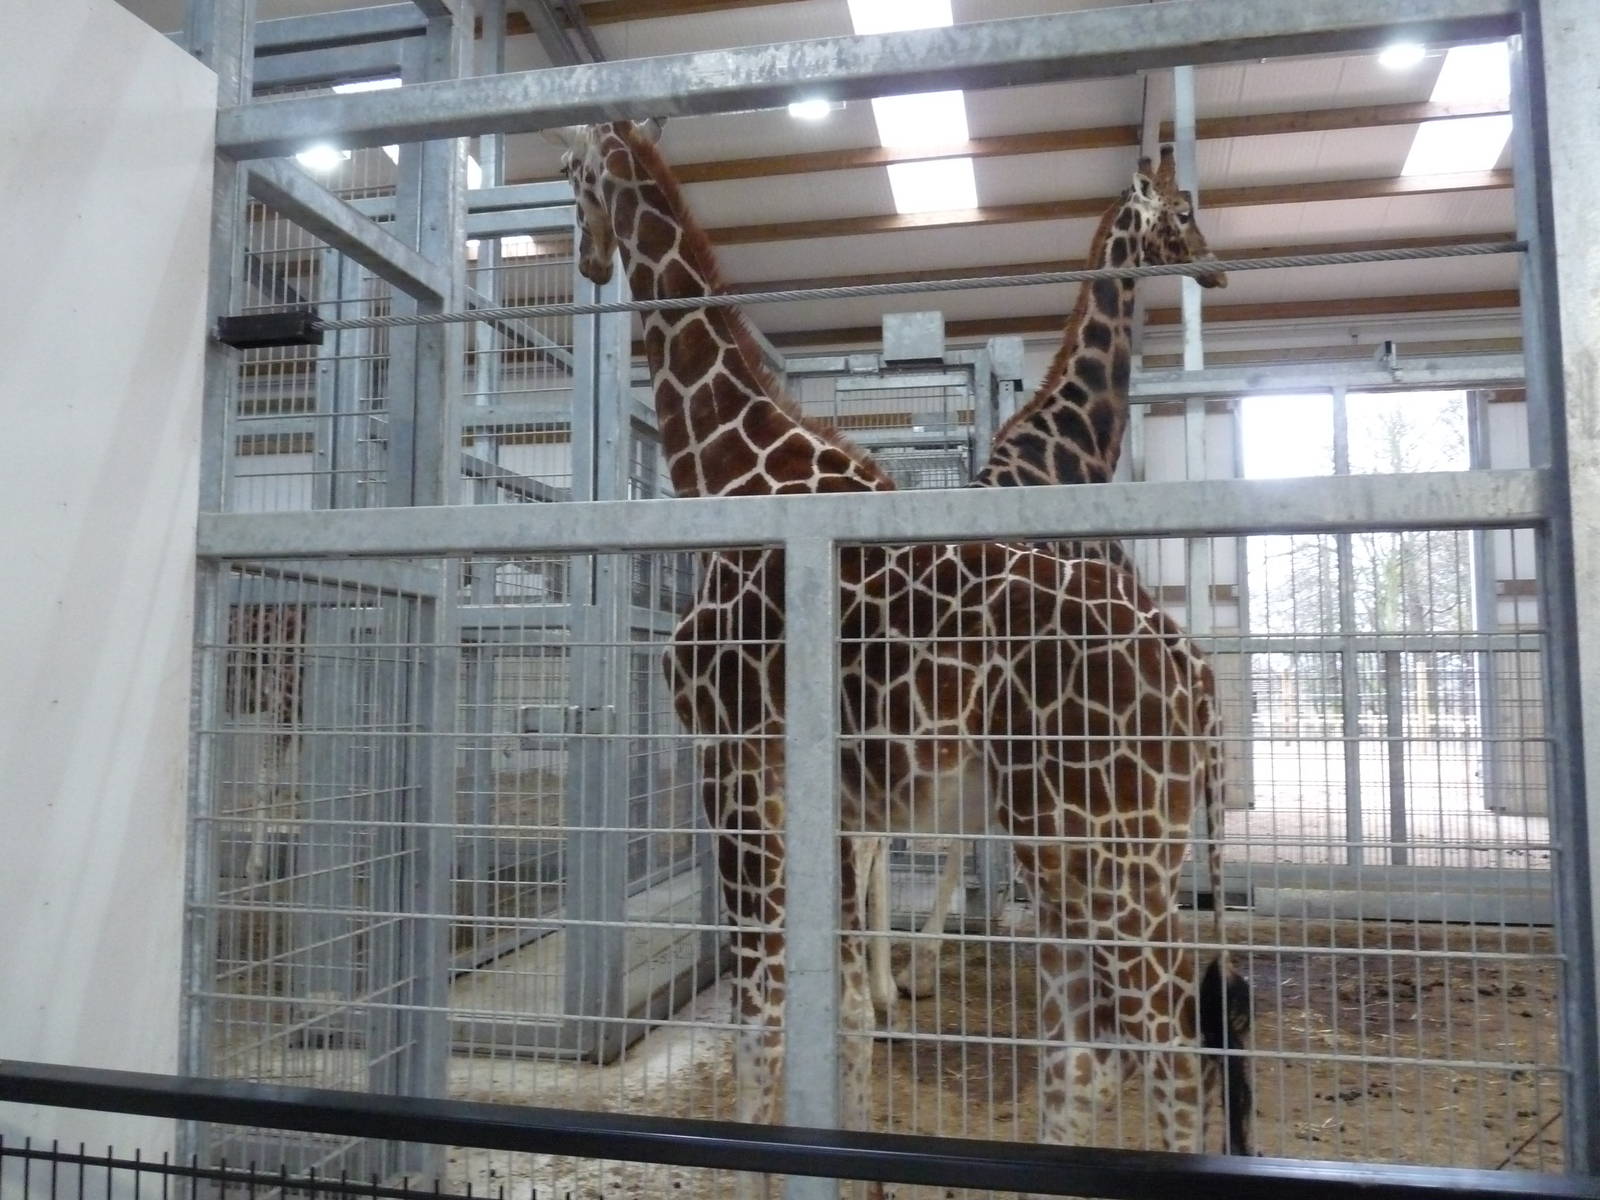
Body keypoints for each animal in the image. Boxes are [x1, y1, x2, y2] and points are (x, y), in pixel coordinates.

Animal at [560, 119, 1237, 1174]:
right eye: (1180, 211)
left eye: (571, 175)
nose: (1213, 263)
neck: (726, 461)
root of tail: (1193, 671)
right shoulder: (827, 791)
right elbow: (828, 1011)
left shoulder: (735, 760)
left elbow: (764, 1012)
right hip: (1111, 847)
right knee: (1094, 1053)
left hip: (1097, 841)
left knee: (1161, 1047)